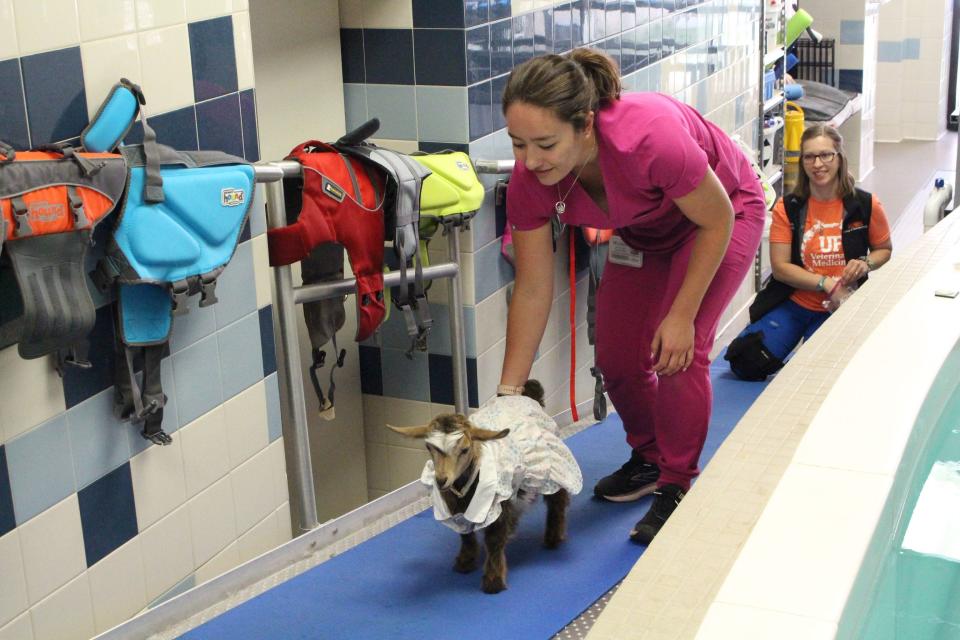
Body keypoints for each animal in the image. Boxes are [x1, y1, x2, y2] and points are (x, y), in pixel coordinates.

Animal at [386, 380, 580, 596]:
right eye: (429, 448)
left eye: (464, 449)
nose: (441, 480)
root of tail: (530, 397)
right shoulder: (457, 511)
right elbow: (465, 535)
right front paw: (465, 561)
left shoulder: (497, 506)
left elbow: (494, 540)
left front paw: (493, 581)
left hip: (555, 464)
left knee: (558, 499)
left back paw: (553, 537)